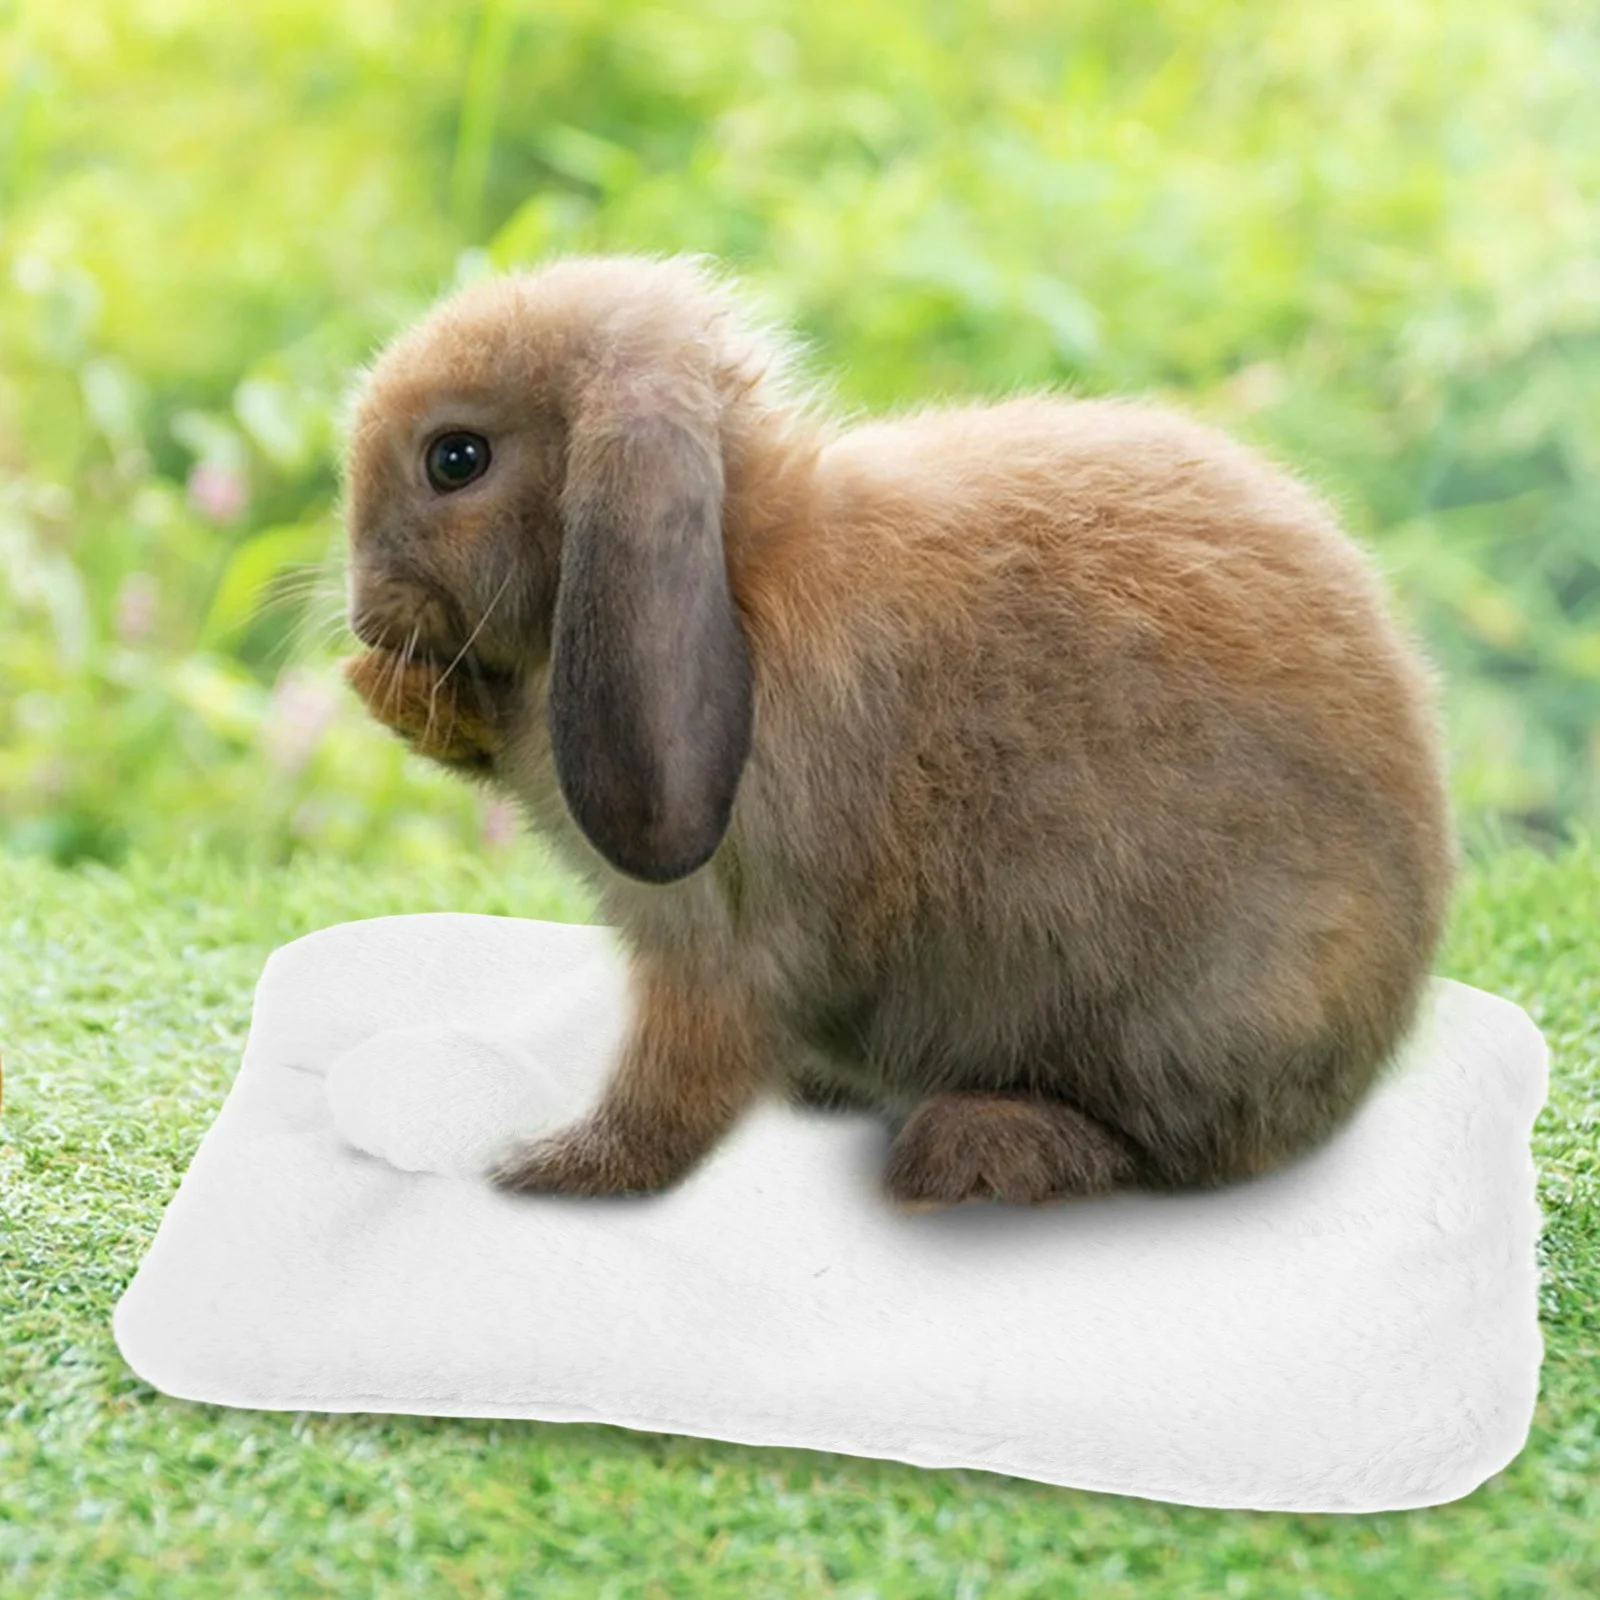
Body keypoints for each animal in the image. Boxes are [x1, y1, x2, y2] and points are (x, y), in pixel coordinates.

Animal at [340, 253, 1456, 1209]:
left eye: (456, 459)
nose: (361, 616)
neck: (739, 572)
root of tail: (1375, 1041)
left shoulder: (723, 944)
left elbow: (674, 1083)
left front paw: (548, 1169)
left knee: (1162, 1149)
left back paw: (975, 1149)